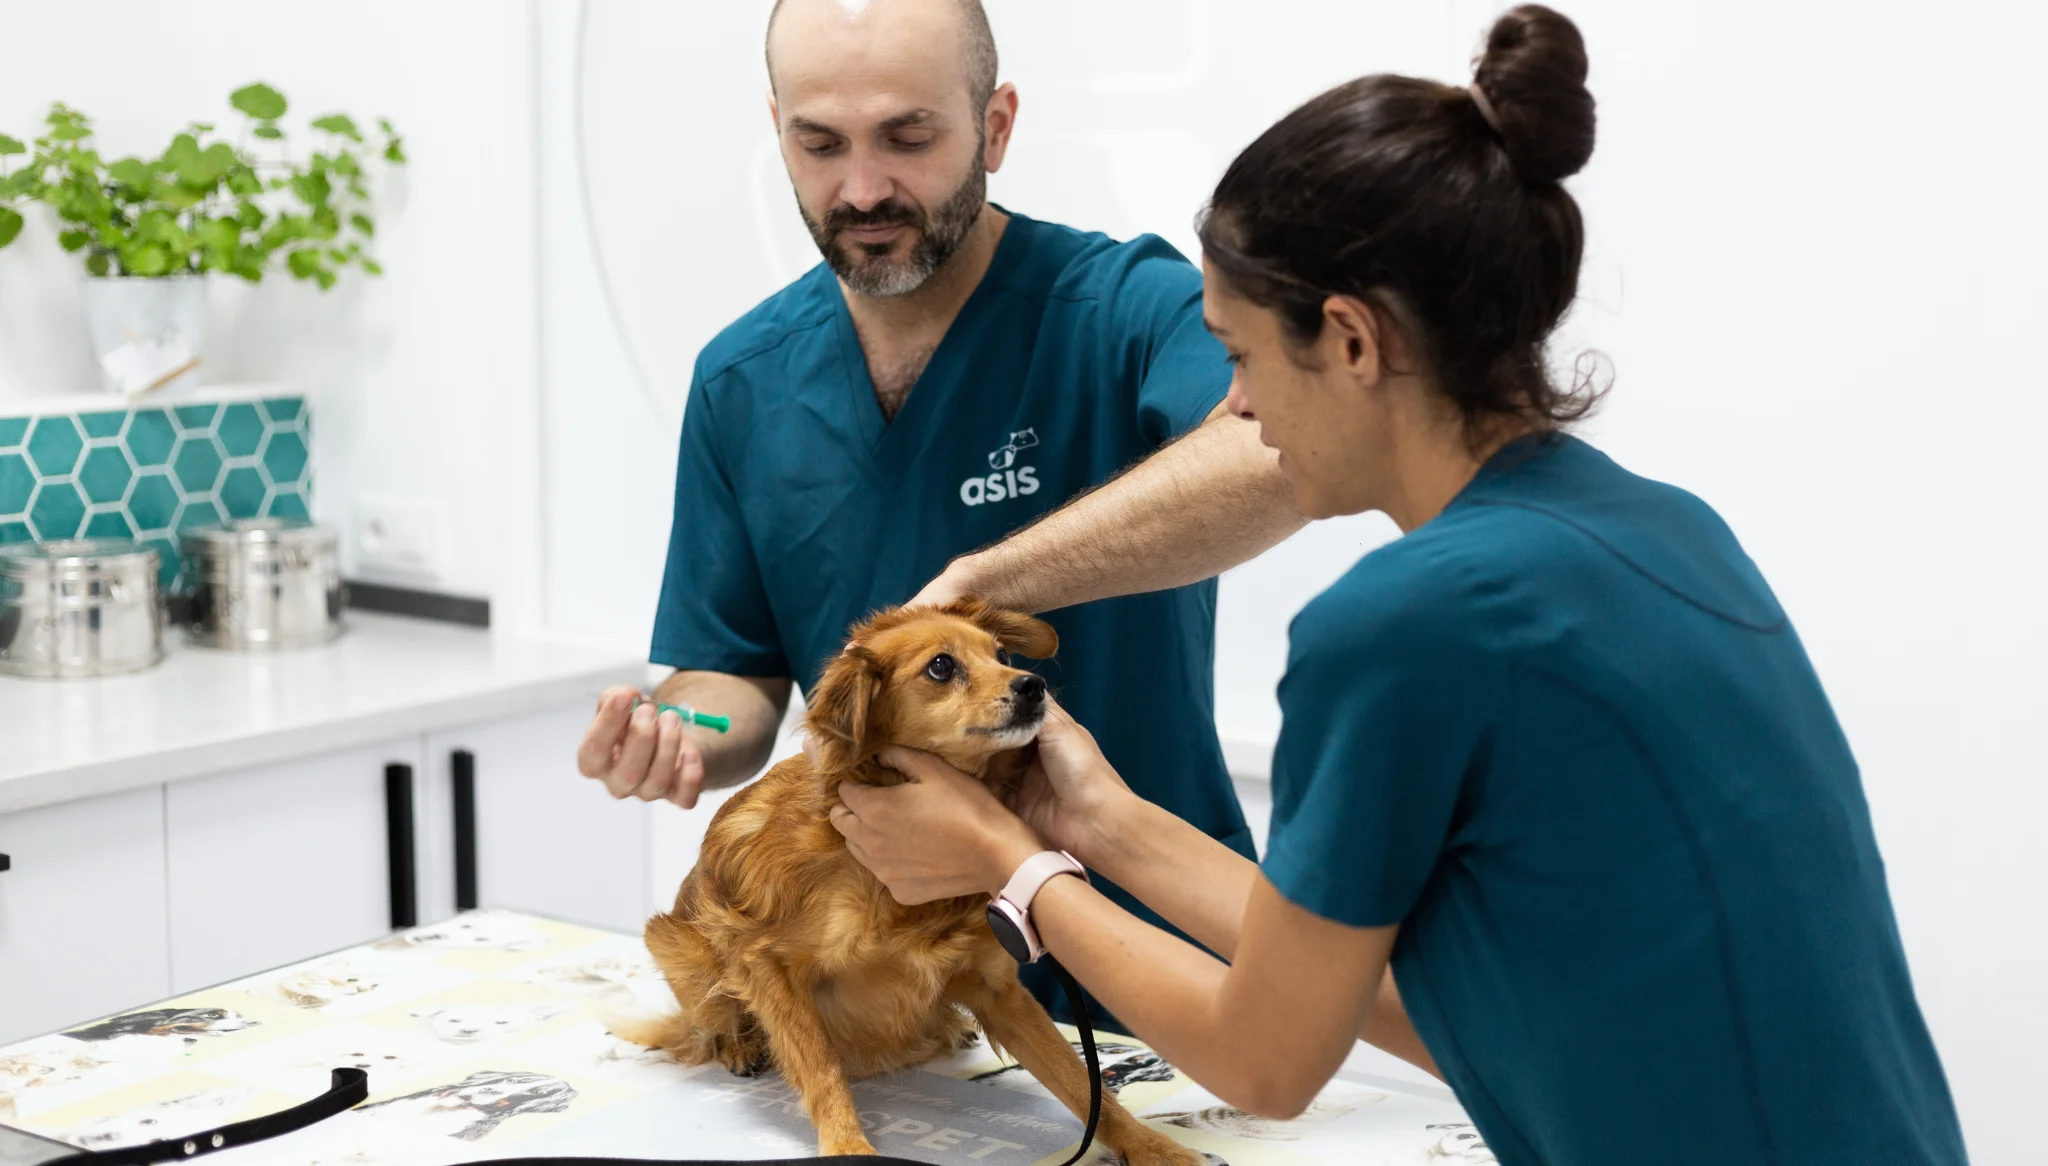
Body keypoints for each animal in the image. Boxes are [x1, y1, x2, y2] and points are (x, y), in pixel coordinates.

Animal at [622, 606, 1196, 1155]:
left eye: (1000, 654)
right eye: (941, 666)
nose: (1033, 685)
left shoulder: (998, 991)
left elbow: (1080, 1081)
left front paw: (1150, 1147)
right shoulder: (763, 960)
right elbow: (820, 1064)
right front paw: (847, 1144)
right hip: (675, 943)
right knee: (708, 1021)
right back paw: (739, 1044)